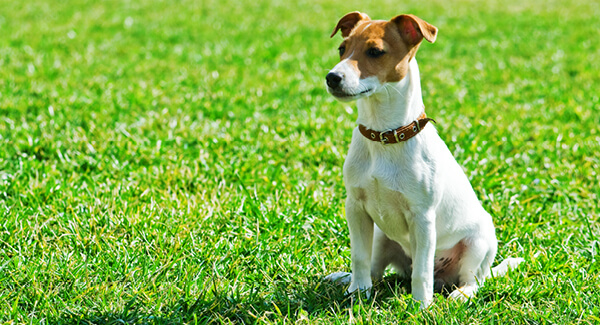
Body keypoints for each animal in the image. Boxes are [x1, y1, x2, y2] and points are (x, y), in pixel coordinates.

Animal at [322, 12, 524, 306]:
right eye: (342, 49)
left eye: (375, 51)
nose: (332, 77)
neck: (384, 136)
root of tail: (445, 278)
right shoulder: (356, 208)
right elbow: (359, 257)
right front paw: (357, 292)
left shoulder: (422, 218)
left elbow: (422, 269)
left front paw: (420, 305)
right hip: (382, 237)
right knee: (375, 268)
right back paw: (345, 279)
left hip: (478, 244)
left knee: (470, 279)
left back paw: (461, 294)